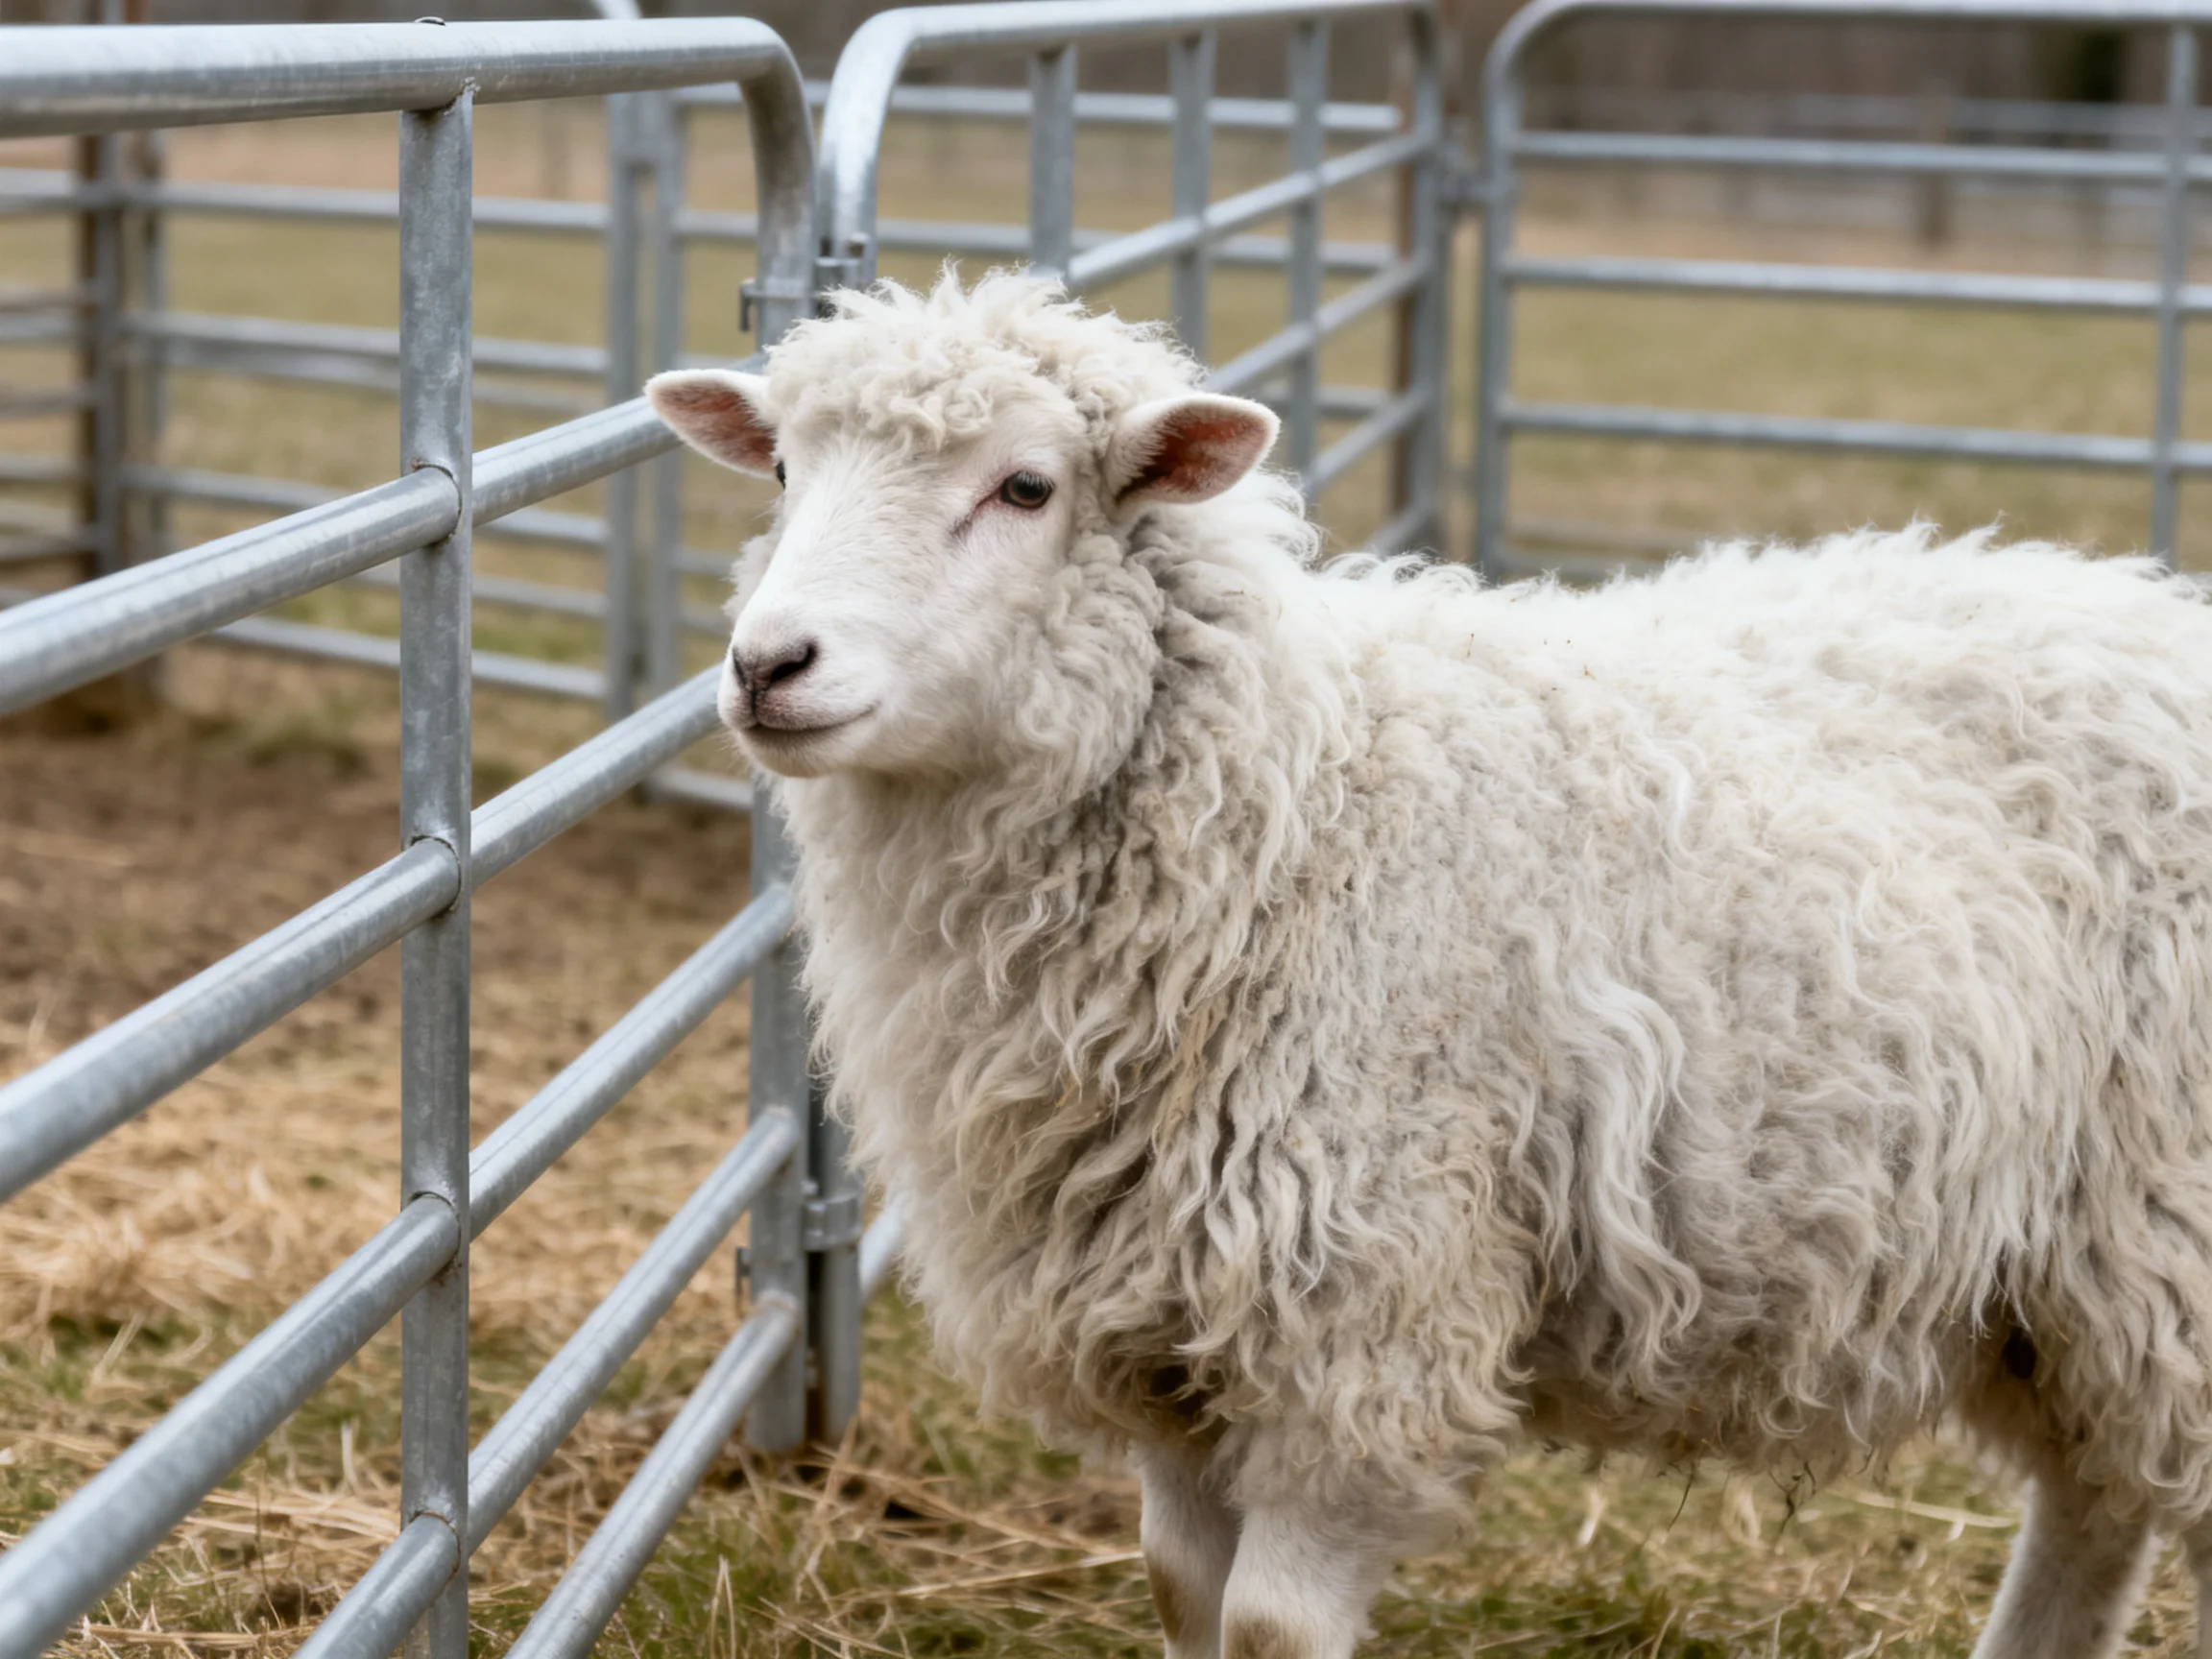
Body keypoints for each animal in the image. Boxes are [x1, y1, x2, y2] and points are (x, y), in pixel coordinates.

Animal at [647, 271, 2212, 1659]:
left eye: (1025, 489)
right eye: (781, 467)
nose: (769, 666)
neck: (1295, 807)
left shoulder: (1366, 1310)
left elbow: (1270, 1624)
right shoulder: (1169, 1331)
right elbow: (1179, 1593)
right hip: (2066, 1282)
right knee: (2097, 1508)